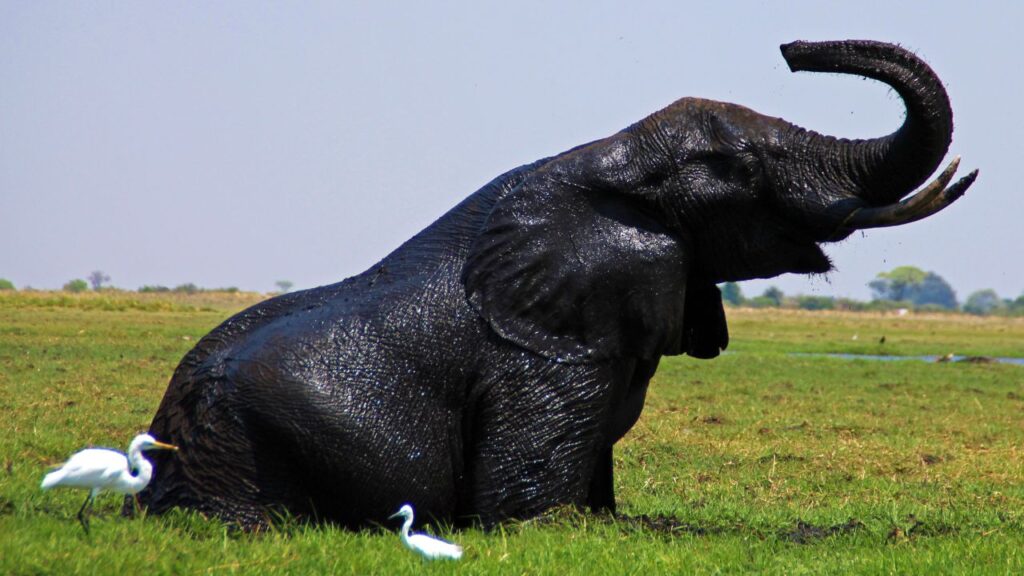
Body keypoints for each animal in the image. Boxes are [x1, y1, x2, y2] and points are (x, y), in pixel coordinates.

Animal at [136, 40, 977, 530]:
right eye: (738, 169)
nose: (792, 48)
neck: (600, 159)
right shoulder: (541, 361)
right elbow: (533, 513)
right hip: (250, 452)